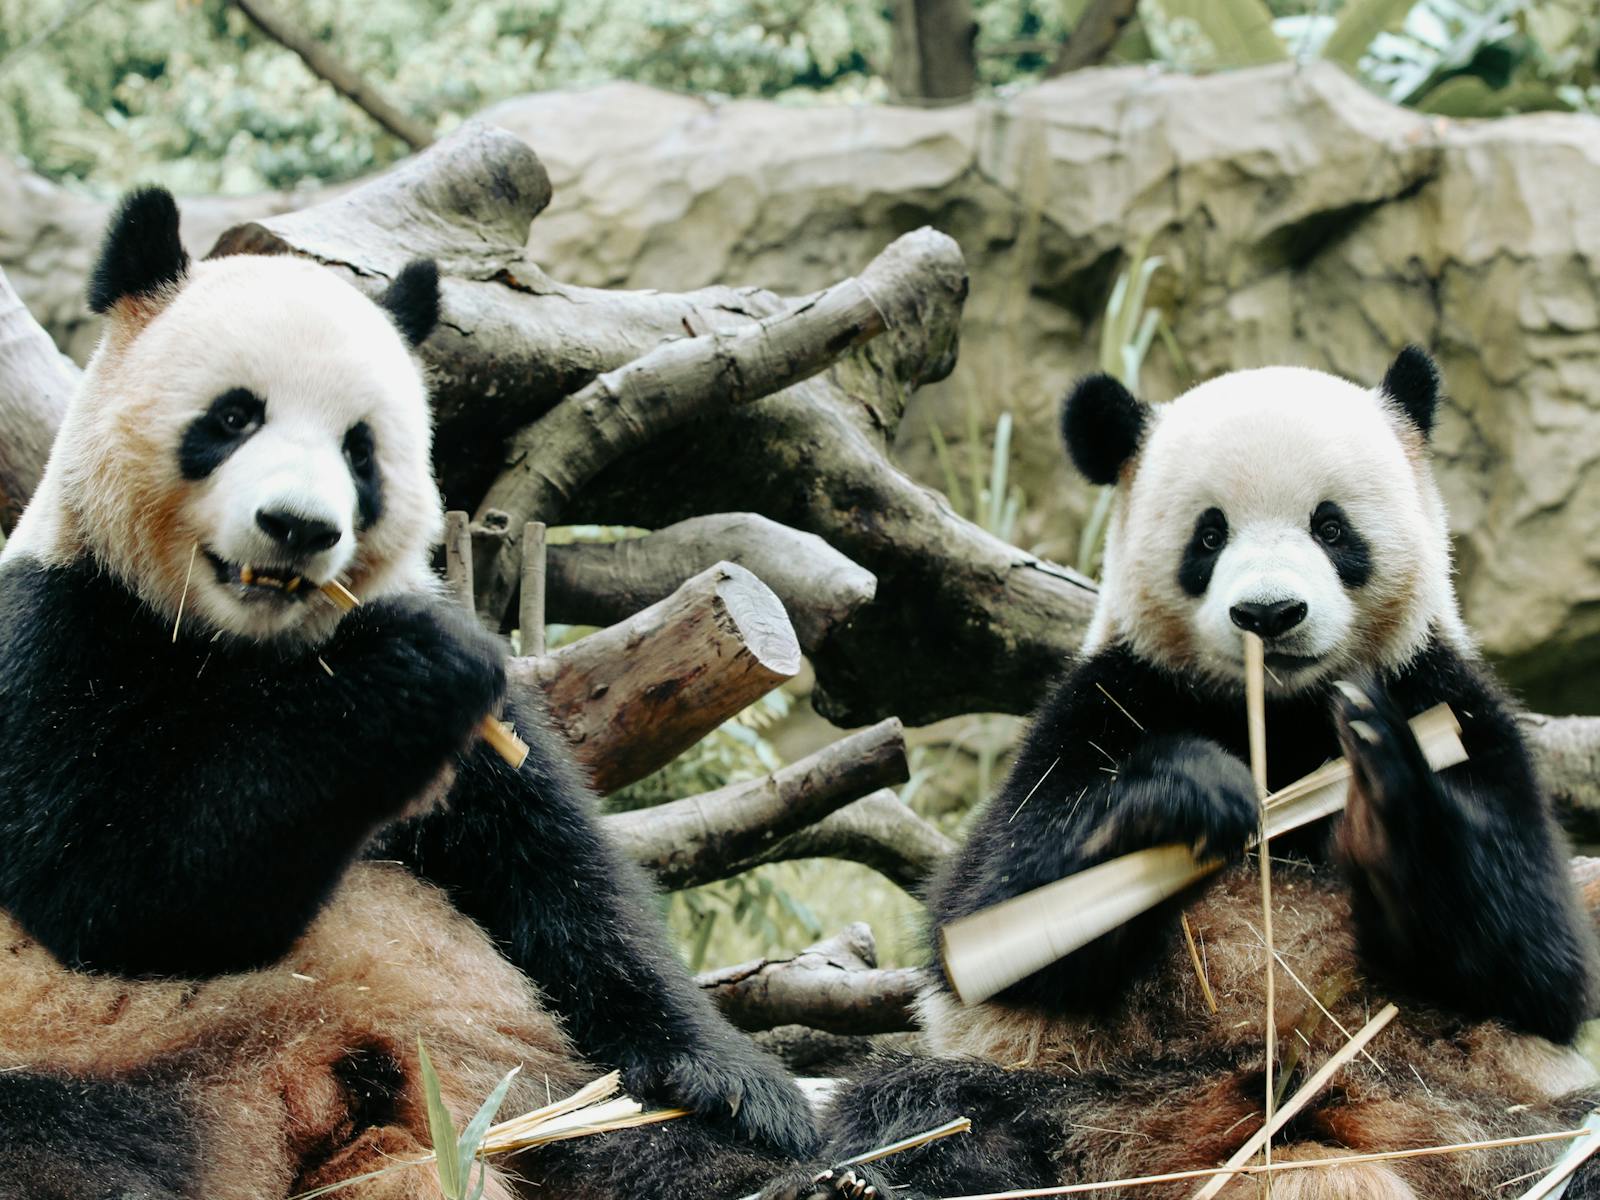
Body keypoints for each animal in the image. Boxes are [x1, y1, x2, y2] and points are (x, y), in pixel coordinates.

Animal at [0, 188, 817, 1200]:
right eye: (233, 418)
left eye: (361, 451)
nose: (298, 528)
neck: (248, 648)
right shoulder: (57, 632)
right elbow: (113, 893)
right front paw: (408, 675)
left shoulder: (485, 747)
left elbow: (560, 884)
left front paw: (739, 1085)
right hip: (93, 1057)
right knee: (68, 1146)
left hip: (519, 1085)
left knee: (625, 1142)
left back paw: (809, 1176)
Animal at [761, 352, 1599, 1200]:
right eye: (1209, 534)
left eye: (1331, 527)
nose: (1269, 614)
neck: (1280, 719)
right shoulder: (1101, 704)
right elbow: (988, 913)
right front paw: (1189, 794)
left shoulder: (1452, 703)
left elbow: (1541, 961)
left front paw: (1383, 795)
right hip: (1083, 1091)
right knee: (931, 1109)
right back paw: (856, 1181)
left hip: (1471, 1111)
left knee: (1569, 1135)